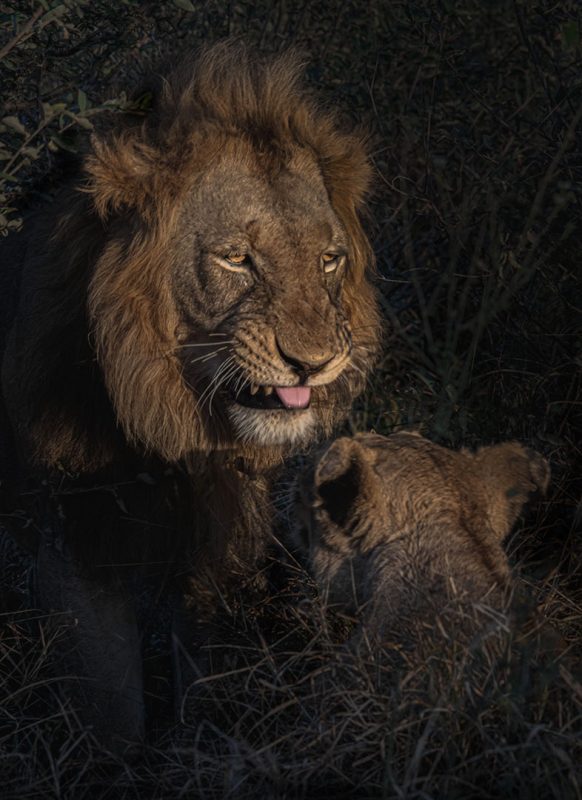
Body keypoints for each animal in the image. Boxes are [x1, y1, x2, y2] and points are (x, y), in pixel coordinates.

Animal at [0, 42, 381, 744]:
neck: (168, 422)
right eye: (236, 259)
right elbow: (110, 710)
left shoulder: (219, 535)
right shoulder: (77, 534)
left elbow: (208, 677)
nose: (313, 365)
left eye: (329, 261)